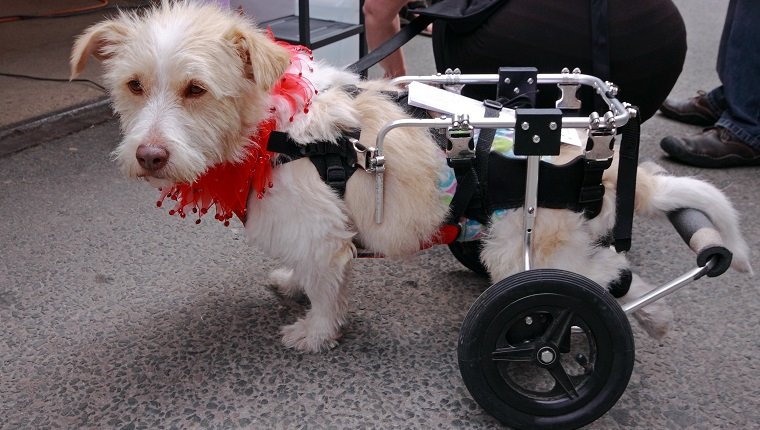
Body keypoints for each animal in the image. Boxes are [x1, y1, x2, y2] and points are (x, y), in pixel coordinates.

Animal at [71, 0, 756, 352]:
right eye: (134, 85)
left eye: (196, 89)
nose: (149, 156)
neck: (272, 130)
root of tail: (604, 161)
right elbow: (306, 270)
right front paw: (292, 284)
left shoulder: (322, 232)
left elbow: (327, 288)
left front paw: (314, 334)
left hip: (534, 249)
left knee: (610, 278)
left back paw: (640, 318)